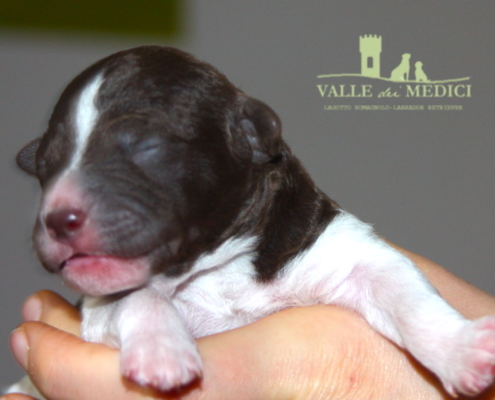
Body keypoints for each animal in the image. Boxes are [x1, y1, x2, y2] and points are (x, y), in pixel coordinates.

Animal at [6, 47, 495, 396]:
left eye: (145, 145)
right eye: (46, 167)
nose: (57, 219)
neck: (217, 271)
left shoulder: (343, 252)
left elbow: (409, 297)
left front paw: (464, 350)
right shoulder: (97, 310)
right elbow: (136, 297)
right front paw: (161, 351)